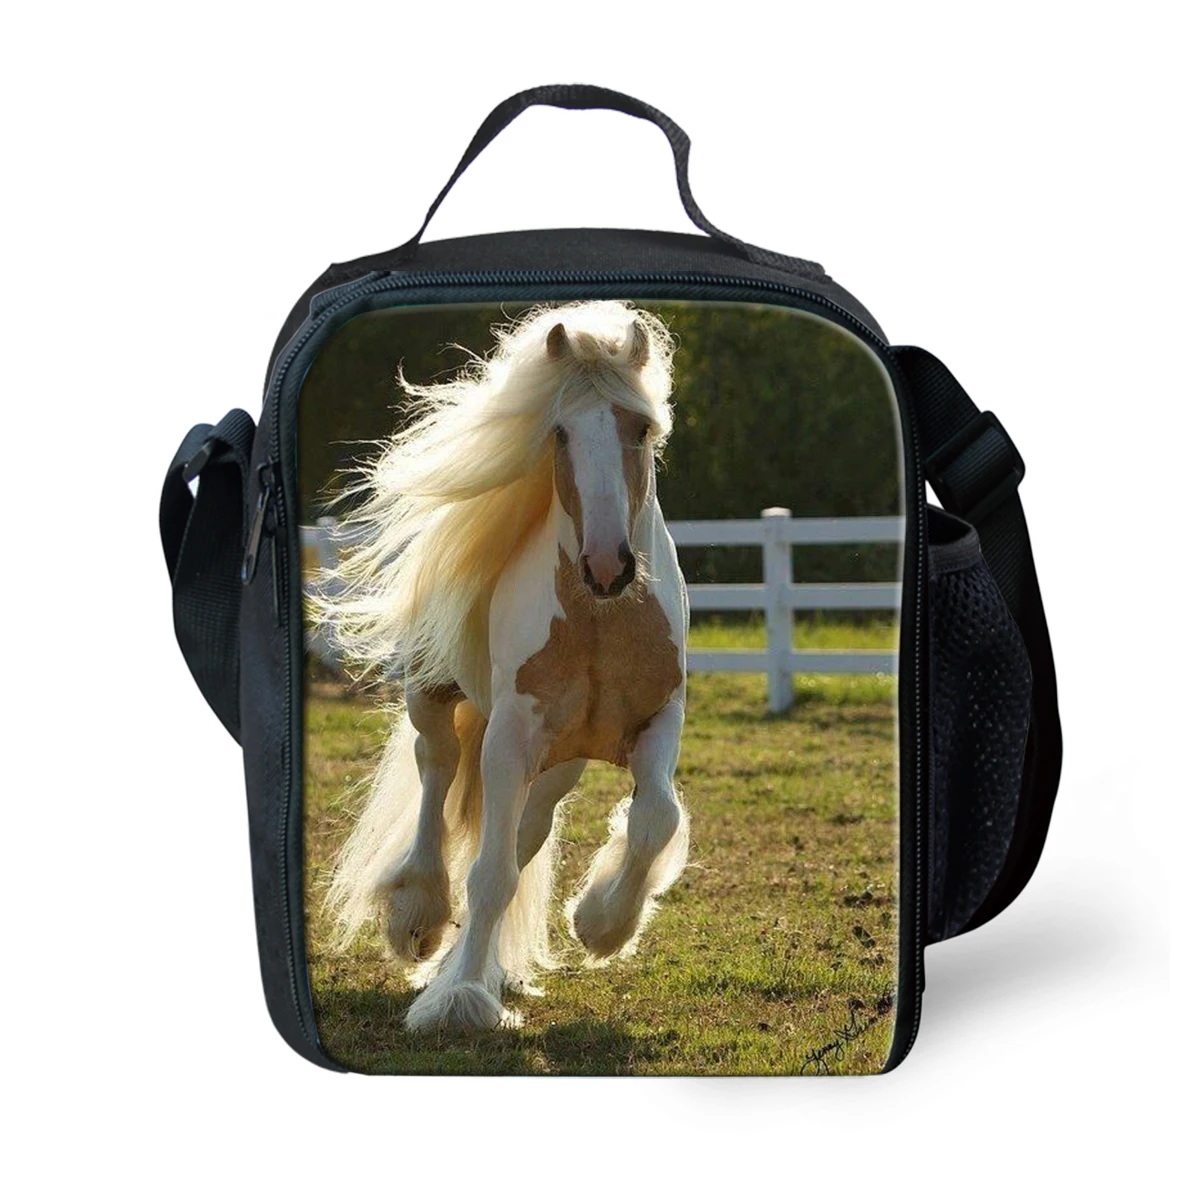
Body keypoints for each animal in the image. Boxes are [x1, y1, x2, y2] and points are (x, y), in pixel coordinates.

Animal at [323, 300, 690, 1032]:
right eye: (560, 433)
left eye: (640, 427)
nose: (607, 566)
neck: (601, 621)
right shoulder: (511, 735)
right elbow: (488, 874)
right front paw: (460, 998)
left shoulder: (660, 719)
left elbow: (655, 819)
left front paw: (601, 924)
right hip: (436, 698)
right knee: (436, 770)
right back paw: (419, 916)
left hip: (557, 765)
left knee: (524, 833)